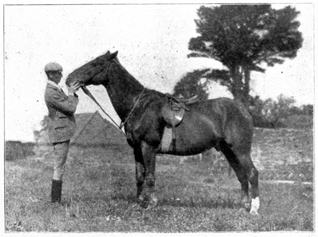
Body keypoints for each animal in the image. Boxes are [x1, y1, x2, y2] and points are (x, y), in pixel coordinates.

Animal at [66, 51, 260, 216]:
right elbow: (139, 176)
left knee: (252, 173)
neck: (138, 105)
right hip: (228, 151)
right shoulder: (137, 149)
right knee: (241, 175)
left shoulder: (148, 147)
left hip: (240, 150)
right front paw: (140, 201)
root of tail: (243, 110)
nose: (70, 79)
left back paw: (254, 209)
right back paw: (243, 206)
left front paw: (151, 203)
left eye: (95, 63)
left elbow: (150, 176)